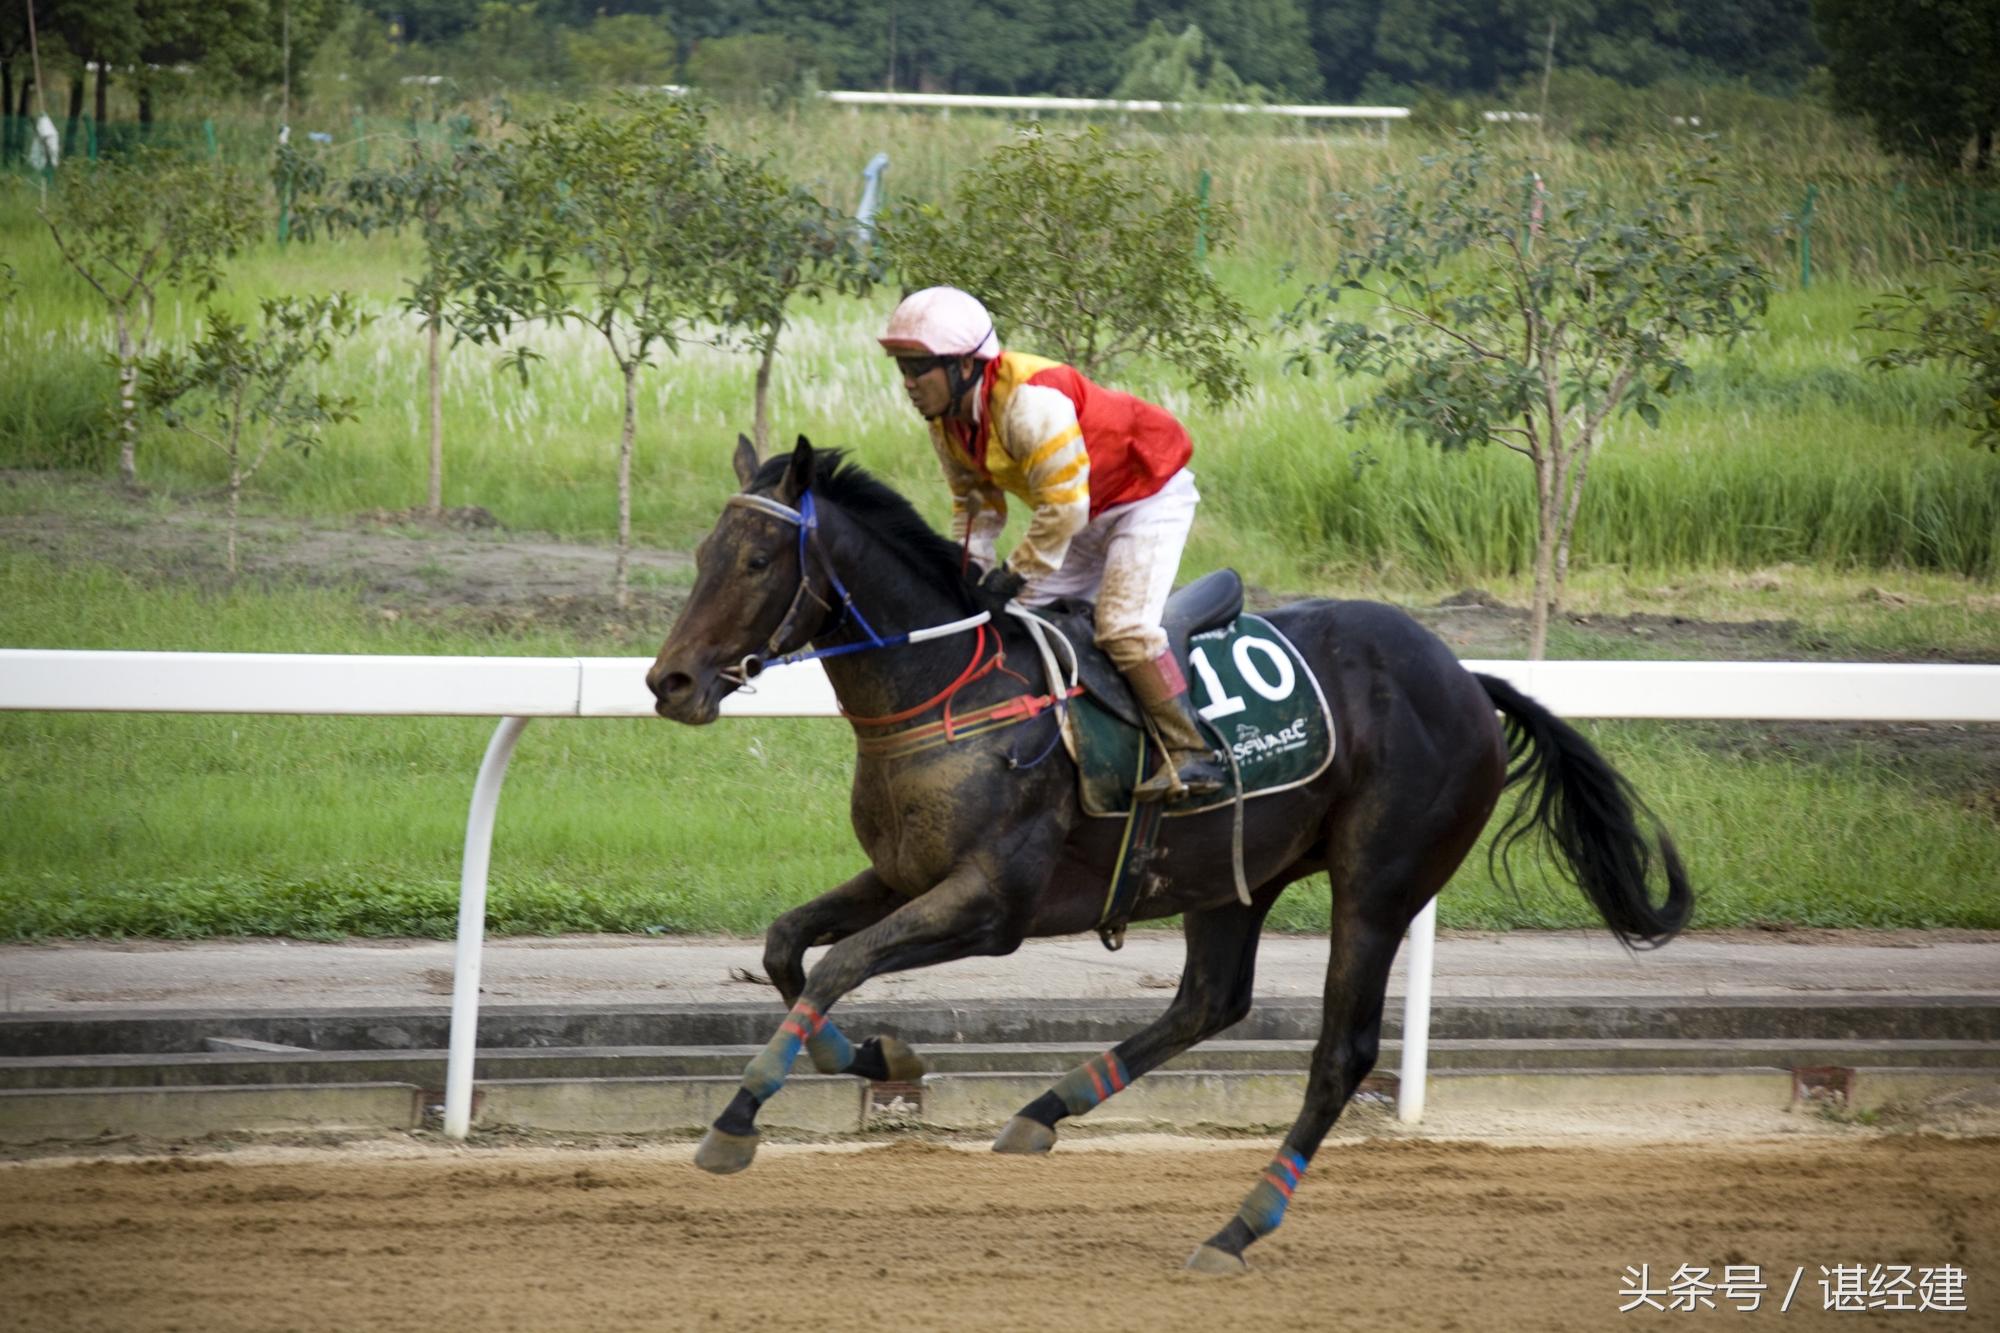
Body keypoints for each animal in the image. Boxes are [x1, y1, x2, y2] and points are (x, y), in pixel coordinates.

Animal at [644, 434, 1688, 1264]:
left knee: (1339, 1054)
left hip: (1381, 881)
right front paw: (873, 1056)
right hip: (1228, 876)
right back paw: (1046, 1110)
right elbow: (790, 946)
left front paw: (738, 1117)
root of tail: (1467, 677)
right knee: (1210, 1000)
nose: (669, 682)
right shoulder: (906, 872)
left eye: (756, 559)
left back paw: (1238, 1226)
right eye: (702, 552)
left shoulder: (992, 903)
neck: (952, 687)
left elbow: (840, 963)